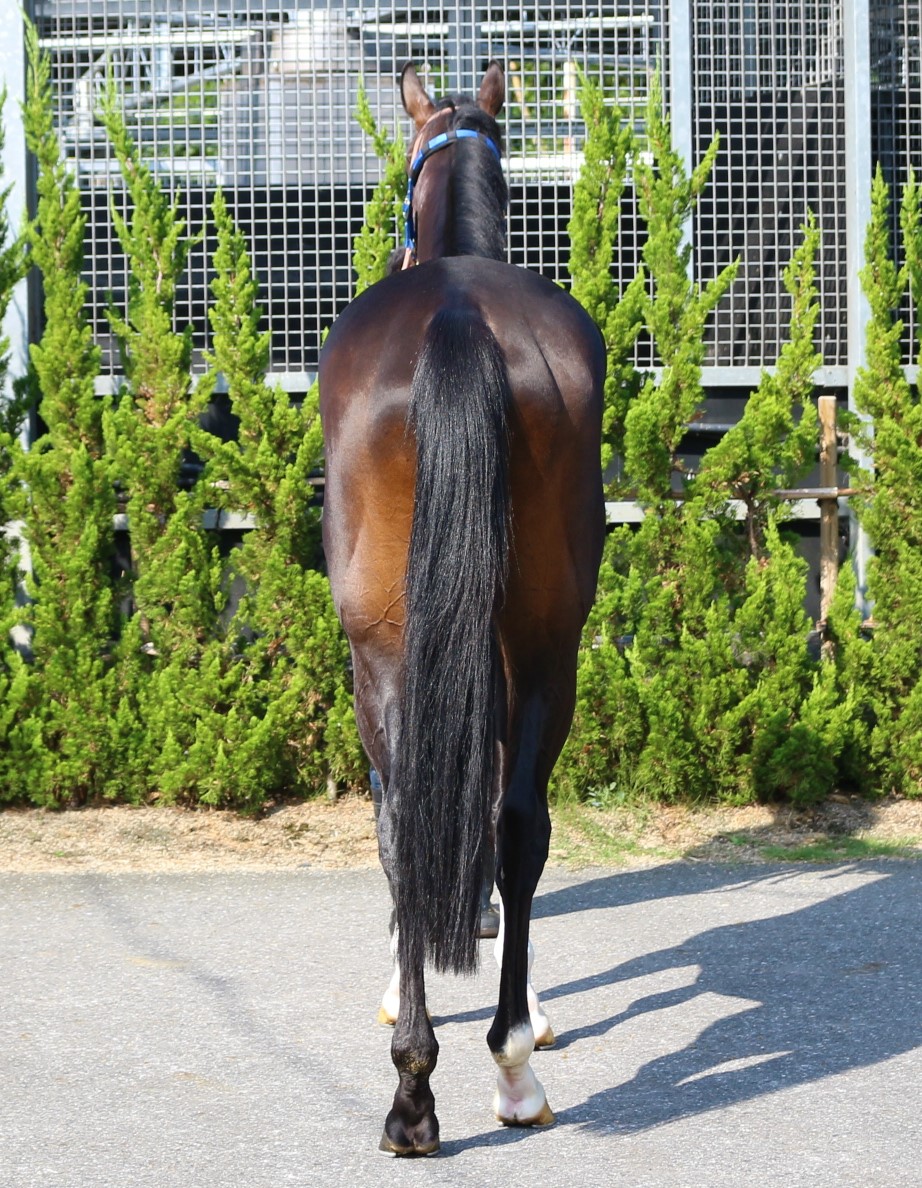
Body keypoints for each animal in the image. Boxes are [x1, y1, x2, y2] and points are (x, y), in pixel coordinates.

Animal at [318, 61, 605, 1155]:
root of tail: (455, 316)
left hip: (395, 650)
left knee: (413, 818)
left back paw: (446, 1084)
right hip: (539, 639)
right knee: (513, 820)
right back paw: (484, 1065)